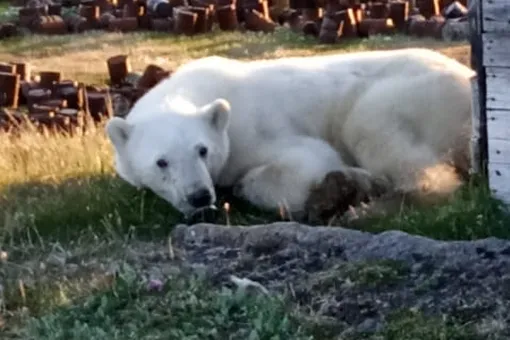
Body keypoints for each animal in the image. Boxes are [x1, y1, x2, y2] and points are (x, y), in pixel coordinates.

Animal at [105, 47, 476, 220]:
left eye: (202, 150)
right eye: (161, 162)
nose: (199, 196)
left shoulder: (254, 129)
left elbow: (306, 160)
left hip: (411, 94)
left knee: (376, 131)